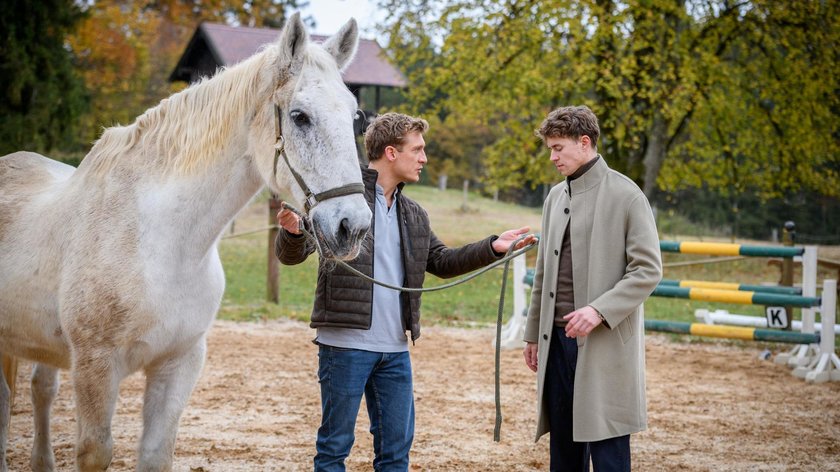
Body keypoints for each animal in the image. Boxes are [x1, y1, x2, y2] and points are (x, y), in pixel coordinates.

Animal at [0, 14, 370, 472]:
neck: (161, 243)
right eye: (300, 117)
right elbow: (95, 452)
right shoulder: (95, 366)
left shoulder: (179, 363)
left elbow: (156, 453)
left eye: (354, 117)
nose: (353, 227)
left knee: (39, 391)